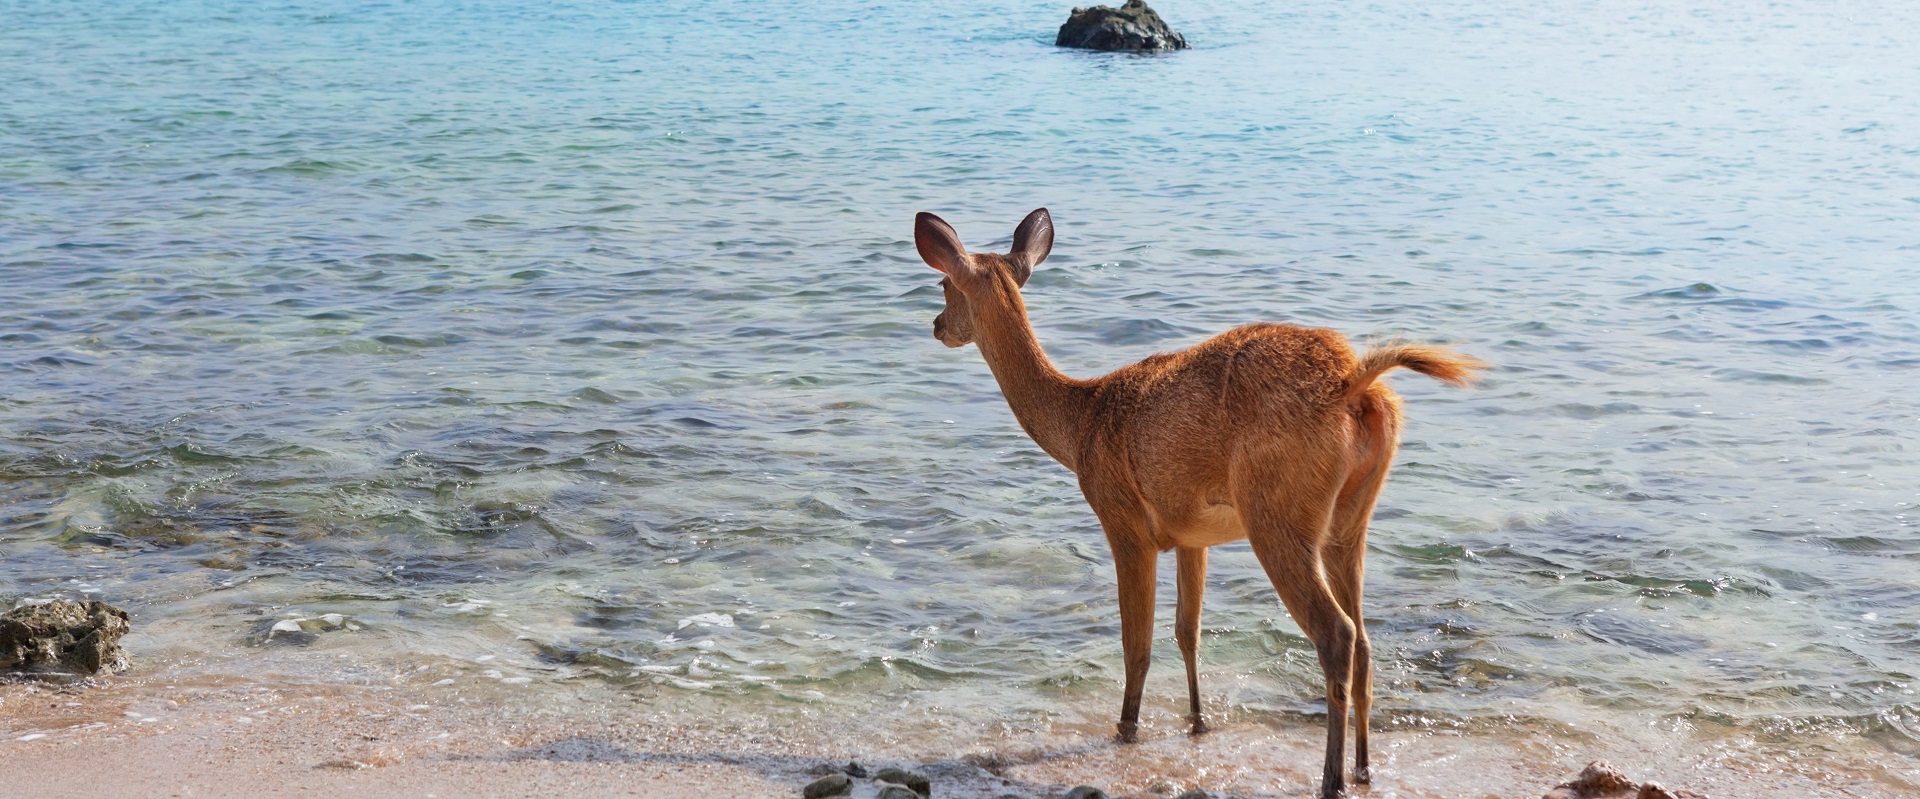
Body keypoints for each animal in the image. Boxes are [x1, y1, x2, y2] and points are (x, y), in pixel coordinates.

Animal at [913, 209, 1482, 795]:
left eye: (945, 284)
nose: (936, 325)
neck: (1079, 425)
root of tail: (1354, 385)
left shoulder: (1122, 522)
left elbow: (1137, 645)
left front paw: (1126, 730)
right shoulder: (1192, 534)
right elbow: (1188, 632)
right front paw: (1198, 720)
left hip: (1276, 513)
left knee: (1337, 634)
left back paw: (1332, 779)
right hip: (1350, 522)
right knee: (1365, 639)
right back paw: (1365, 767)